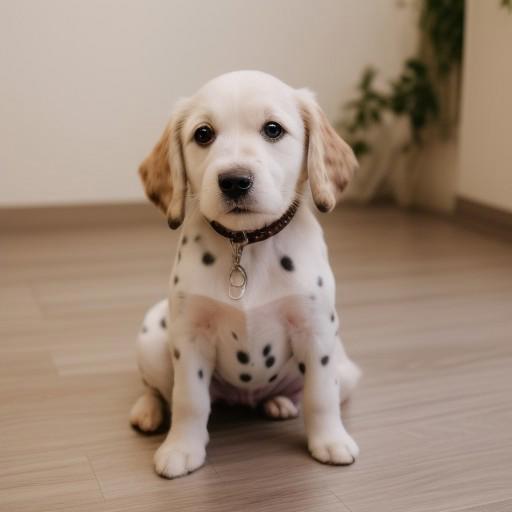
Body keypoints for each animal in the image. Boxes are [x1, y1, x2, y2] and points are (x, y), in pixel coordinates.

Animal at [129, 70, 360, 478]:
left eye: (273, 129)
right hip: (153, 340)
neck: (247, 246)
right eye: (203, 134)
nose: (235, 180)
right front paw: (181, 448)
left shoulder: (316, 331)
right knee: (159, 390)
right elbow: (188, 399)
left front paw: (330, 441)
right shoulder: (190, 336)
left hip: (346, 370)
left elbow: (320, 396)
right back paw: (148, 410)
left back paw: (280, 402)